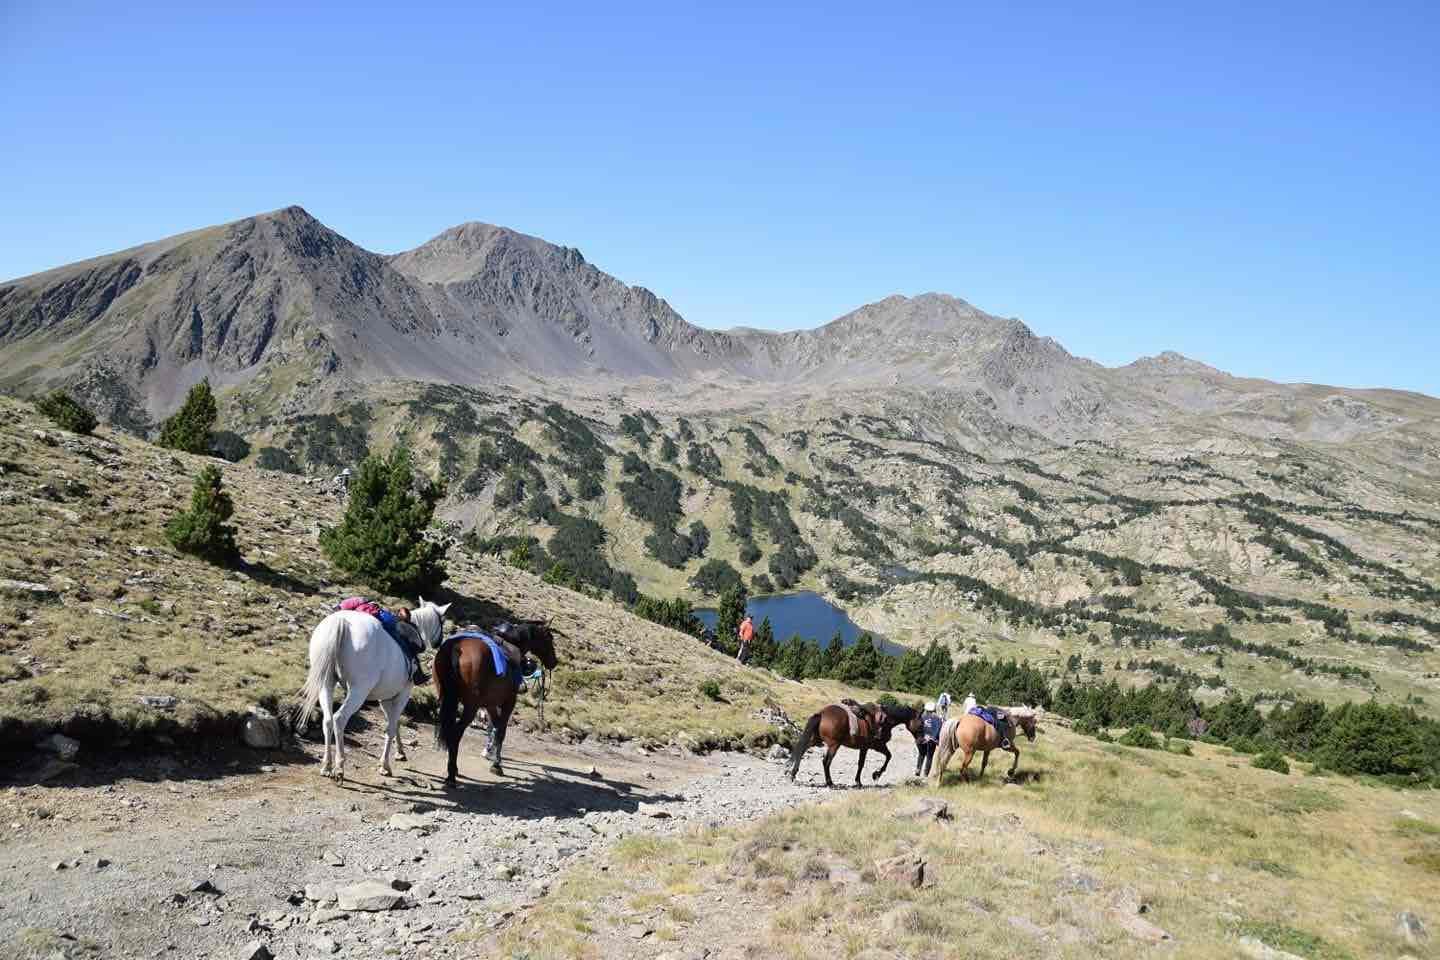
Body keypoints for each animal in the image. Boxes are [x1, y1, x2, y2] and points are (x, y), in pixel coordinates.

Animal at [295, 598, 450, 781]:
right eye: (443, 621)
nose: (439, 642)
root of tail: (341, 622)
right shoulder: (402, 695)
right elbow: (391, 727)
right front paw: (385, 766)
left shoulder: (385, 698)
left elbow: (394, 723)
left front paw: (400, 752)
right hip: (359, 690)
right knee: (339, 719)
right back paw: (339, 767)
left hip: (326, 683)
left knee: (327, 720)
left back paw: (326, 766)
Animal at [433, 621, 560, 789]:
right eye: (549, 639)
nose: (554, 661)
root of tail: (455, 648)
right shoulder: (508, 702)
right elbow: (501, 731)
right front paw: (496, 765)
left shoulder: (490, 704)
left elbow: (493, 728)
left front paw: (491, 754)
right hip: (470, 707)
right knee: (456, 733)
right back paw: (452, 775)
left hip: (446, 699)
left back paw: (453, 769)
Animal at [786, 702, 923, 788]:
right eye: (921, 723)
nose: (922, 740)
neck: (885, 720)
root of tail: (822, 713)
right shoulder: (872, 747)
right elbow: (881, 758)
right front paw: (870, 777)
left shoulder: (869, 747)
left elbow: (884, 757)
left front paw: (870, 776)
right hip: (834, 745)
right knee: (826, 762)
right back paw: (830, 782)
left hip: (814, 740)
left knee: (801, 751)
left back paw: (793, 774)